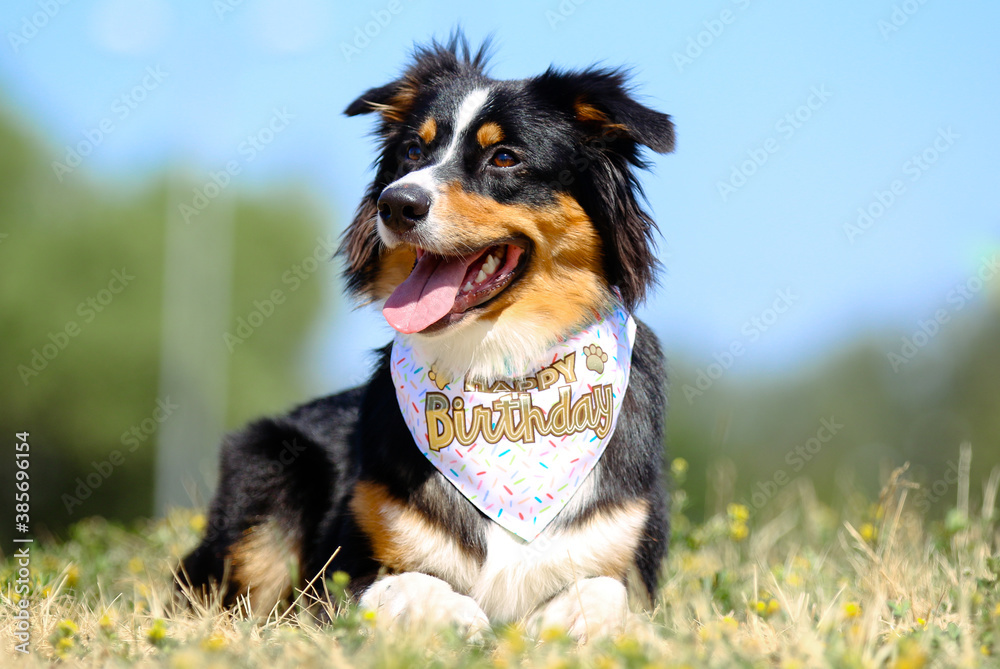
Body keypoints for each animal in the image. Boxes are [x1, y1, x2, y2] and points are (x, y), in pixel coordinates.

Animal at [182, 35, 672, 636]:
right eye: (414, 152)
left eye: (504, 157)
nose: (396, 202)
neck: (500, 372)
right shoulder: (344, 574)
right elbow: (410, 584)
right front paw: (463, 616)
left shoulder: (626, 559)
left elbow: (603, 594)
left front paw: (553, 622)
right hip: (270, 460)